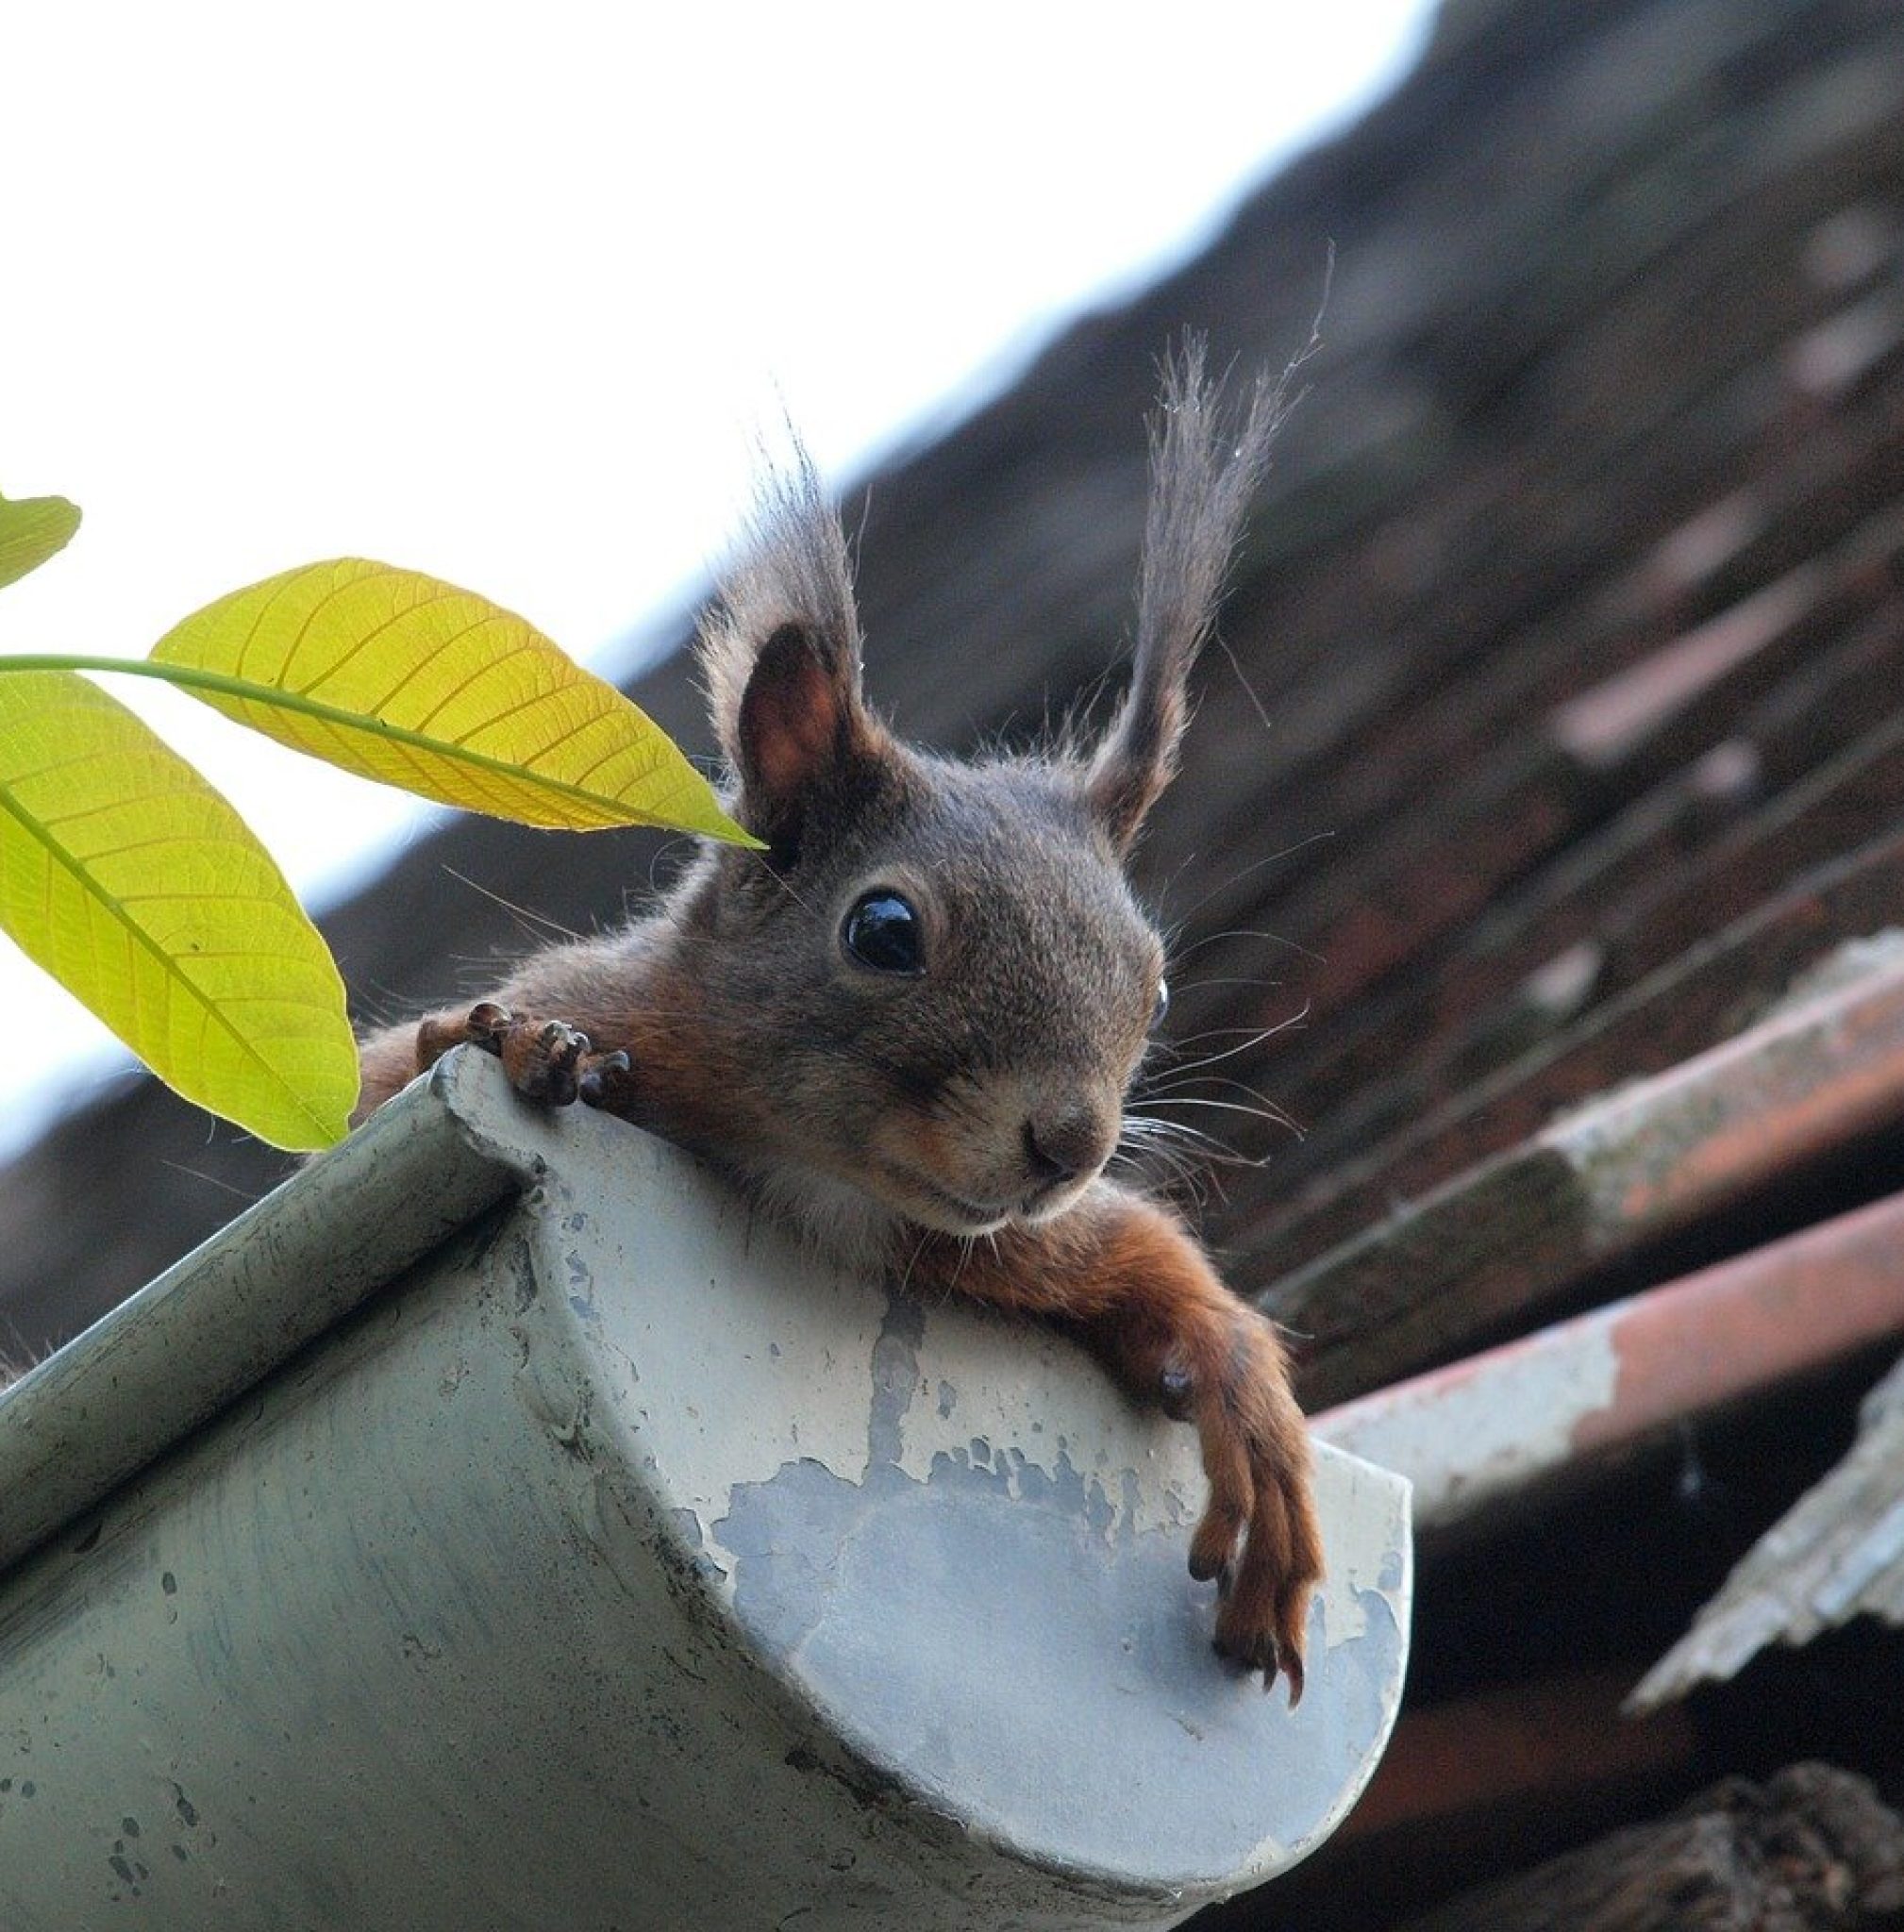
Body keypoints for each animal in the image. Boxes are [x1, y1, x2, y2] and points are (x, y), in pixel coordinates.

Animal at [353, 343, 1322, 1692]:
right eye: (883, 929)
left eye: (1158, 980)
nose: (1068, 1145)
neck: (812, 1168)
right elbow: (386, 1083)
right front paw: (510, 1044)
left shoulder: (992, 1243)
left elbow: (1146, 1259)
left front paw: (1245, 1396)